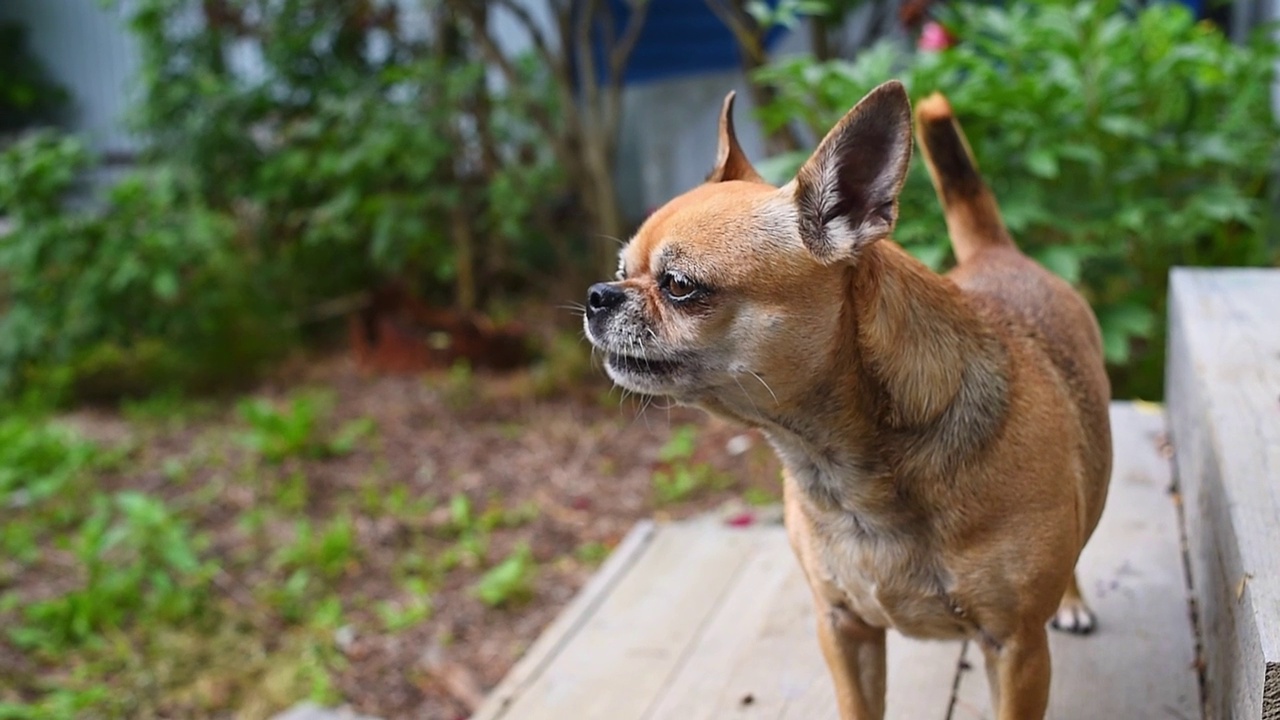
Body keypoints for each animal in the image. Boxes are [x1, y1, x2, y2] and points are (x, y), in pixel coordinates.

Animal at [581, 81, 1111, 712]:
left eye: (680, 286)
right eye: (621, 270)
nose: (597, 295)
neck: (844, 467)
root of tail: (996, 252)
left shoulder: (1015, 651)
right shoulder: (843, 628)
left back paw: (1072, 599)